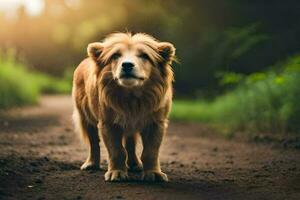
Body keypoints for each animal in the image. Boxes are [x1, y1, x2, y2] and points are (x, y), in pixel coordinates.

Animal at [72, 32, 176, 182]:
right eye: (115, 56)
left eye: (144, 56)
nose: (127, 65)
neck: (132, 98)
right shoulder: (108, 124)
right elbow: (116, 151)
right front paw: (117, 172)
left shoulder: (156, 123)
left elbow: (151, 151)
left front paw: (153, 172)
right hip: (86, 116)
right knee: (94, 143)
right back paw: (91, 163)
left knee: (130, 143)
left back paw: (134, 163)